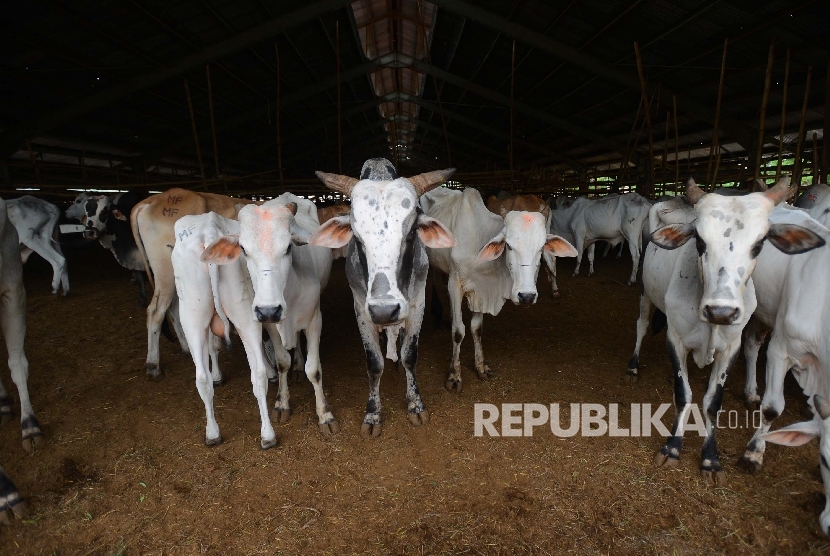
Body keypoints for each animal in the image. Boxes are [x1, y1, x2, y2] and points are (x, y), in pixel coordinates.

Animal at [422, 187, 580, 390]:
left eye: (541, 247)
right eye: (509, 246)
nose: (526, 296)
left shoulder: (481, 290)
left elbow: (476, 328)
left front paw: (481, 367)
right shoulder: (455, 284)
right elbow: (458, 331)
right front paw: (454, 375)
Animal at [628, 179, 824, 486]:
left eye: (759, 244)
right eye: (699, 241)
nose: (721, 311)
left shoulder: (730, 347)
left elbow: (712, 402)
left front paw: (710, 458)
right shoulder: (676, 339)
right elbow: (682, 394)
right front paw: (672, 448)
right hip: (646, 292)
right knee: (642, 325)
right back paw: (634, 365)